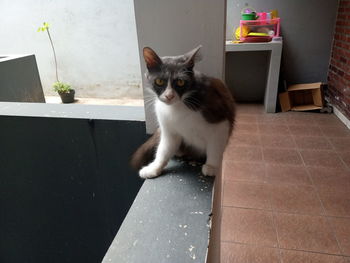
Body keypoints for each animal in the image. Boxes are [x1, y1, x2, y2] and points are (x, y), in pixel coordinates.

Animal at [131, 46, 235, 179]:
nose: (169, 96)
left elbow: (215, 146)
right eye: (159, 81)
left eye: (181, 82)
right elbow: (164, 148)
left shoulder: (219, 118)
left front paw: (212, 166)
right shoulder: (168, 128)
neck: (177, 106)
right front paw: (154, 167)